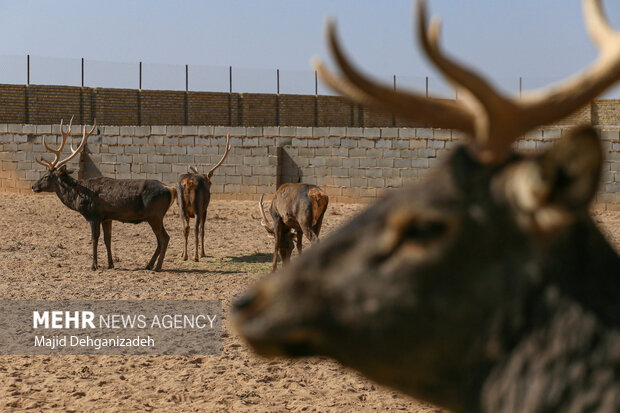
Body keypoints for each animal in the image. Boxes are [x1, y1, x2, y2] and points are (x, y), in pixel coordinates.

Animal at [32, 117, 177, 272]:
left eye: (46, 176)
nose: (33, 186)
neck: (77, 195)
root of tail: (171, 189)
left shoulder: (94, 215)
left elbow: (94, 238)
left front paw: (94, 265)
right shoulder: (107, 217)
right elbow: (108, 239)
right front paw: (110, 264)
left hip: (155, 215)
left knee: (164, 238)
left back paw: (157, 267)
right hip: (155, 216)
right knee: (160, 240)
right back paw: (149, 265)